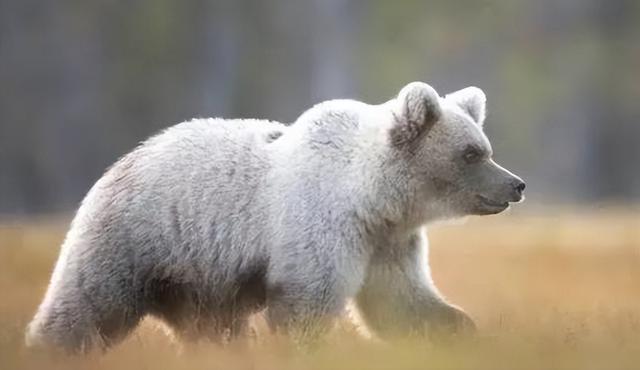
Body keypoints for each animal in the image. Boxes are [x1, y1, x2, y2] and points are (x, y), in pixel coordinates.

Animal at [26, 81, 524, 352]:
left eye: (485, 147)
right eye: (471, 152)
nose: (515, 184)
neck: (373, 197)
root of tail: (120, 162)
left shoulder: (386, 241)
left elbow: (402, 301)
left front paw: (460, 329)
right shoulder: (320, 226)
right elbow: (305, 305)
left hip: (202, 284)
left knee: (214, 332)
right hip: (136, 240)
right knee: (88, 308)